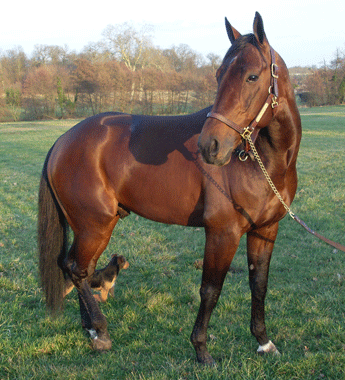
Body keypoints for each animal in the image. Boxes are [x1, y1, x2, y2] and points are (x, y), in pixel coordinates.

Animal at [37, 12, 300, 366]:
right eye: (219, 75)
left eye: (252, 76)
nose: (210, 146)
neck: (264, 162)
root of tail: (62, 141)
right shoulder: (223, 232)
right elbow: (210, 290)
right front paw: (202, 350)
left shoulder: (265, 230)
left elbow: (258, 284)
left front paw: (263, 342)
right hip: (95, 226)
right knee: (76, 270)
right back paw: (100, 332)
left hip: (93, 227)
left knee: (79, 268)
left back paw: (90, 328)